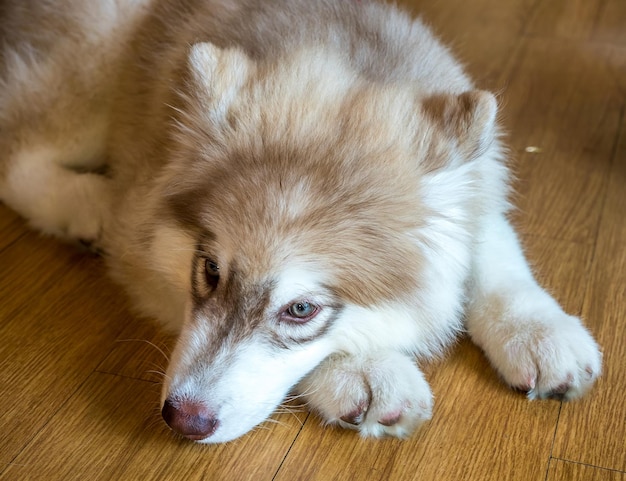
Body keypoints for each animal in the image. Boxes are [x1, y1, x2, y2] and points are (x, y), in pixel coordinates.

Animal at [0, 0, 600, 442]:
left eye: (301, 310)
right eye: (210, 271)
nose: (182, 420)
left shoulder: (479, 184)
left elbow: (493, 249)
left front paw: (538, 331)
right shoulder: (142, 241)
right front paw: (364, 372)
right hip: (91, 63)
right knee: (18, 155)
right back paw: (89, 205)